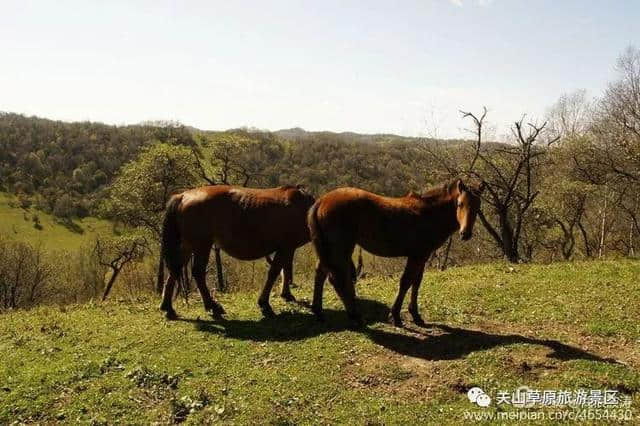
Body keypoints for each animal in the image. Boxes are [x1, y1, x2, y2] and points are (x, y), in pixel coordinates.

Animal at [160, 185, 316, 318]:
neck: (303, 208)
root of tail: (182, 196)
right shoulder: (286, 247)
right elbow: (275, 272)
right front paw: (264, 303)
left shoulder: (288, 248)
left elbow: (285, 269)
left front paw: (286, 294)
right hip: (201, 245)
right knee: (197, 272)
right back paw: (212, 305)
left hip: (187, 246)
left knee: (175, 269)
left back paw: (168, 307)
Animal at [308, 178, 482, 328]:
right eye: (459, 204)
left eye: (478, 207)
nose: (465, 234)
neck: (429, 214)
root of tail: (321, 201)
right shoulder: (416, 256)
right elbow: (406, 282)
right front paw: (396, 316)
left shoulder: (422, 256)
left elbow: (416, 282)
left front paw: (415, 315)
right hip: (340, 249)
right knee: (338, 279)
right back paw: (354, 316)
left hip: (328, 249)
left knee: (320, 273)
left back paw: (319, 312)